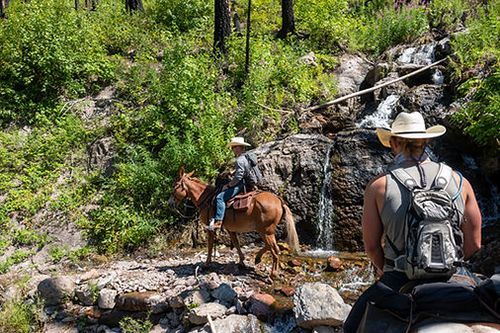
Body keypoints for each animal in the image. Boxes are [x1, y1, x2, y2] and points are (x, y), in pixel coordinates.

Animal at [168, 166, 300, 278]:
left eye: (175, 186)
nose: (170, 203)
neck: (205, 198)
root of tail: (279, 200)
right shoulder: (231, 229)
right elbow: (236, 244)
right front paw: (241, 261)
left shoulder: (210, 228)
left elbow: (210, 246)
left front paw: (206, 264)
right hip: (264, 231)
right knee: (270, 247)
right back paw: (258, 258)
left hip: (266, 231)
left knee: (275, 250)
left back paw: (272, 275)